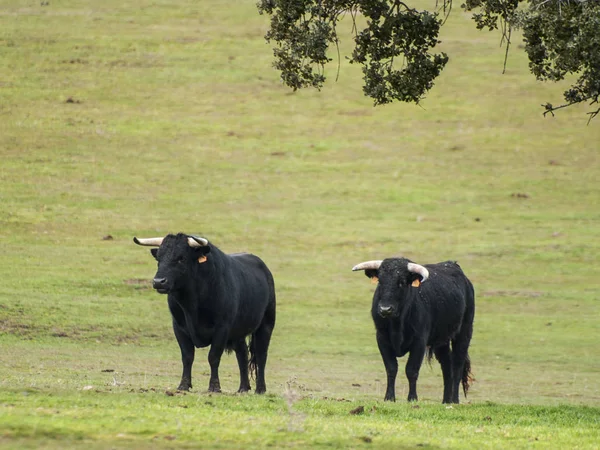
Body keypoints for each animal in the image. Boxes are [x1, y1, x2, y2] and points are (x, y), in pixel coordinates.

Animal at [134, 234, 276, 396]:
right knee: (242, 354)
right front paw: (183, 385)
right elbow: (187, 356)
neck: (193, 305)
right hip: (238, 332)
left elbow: (213, 357)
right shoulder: (179, 327)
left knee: (261, 355)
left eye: (181, 258)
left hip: (266, 324)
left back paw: (260, 389)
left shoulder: (222, 328)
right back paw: (243, 388)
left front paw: (214, 386)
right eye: (159, 258)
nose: (159, 282)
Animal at [352, 256, 474, 404]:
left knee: (457, 364)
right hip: (441, 341)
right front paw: (389, 397)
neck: (397, 325)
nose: (385, 309)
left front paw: (412, 398)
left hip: (464, 332)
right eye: (380, 281)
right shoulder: (382, 339)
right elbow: (391, 368)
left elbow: (411, 370)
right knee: (446, 365)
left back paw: (455, 400)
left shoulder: (419, 342)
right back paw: (446, 401)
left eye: (402, 282)